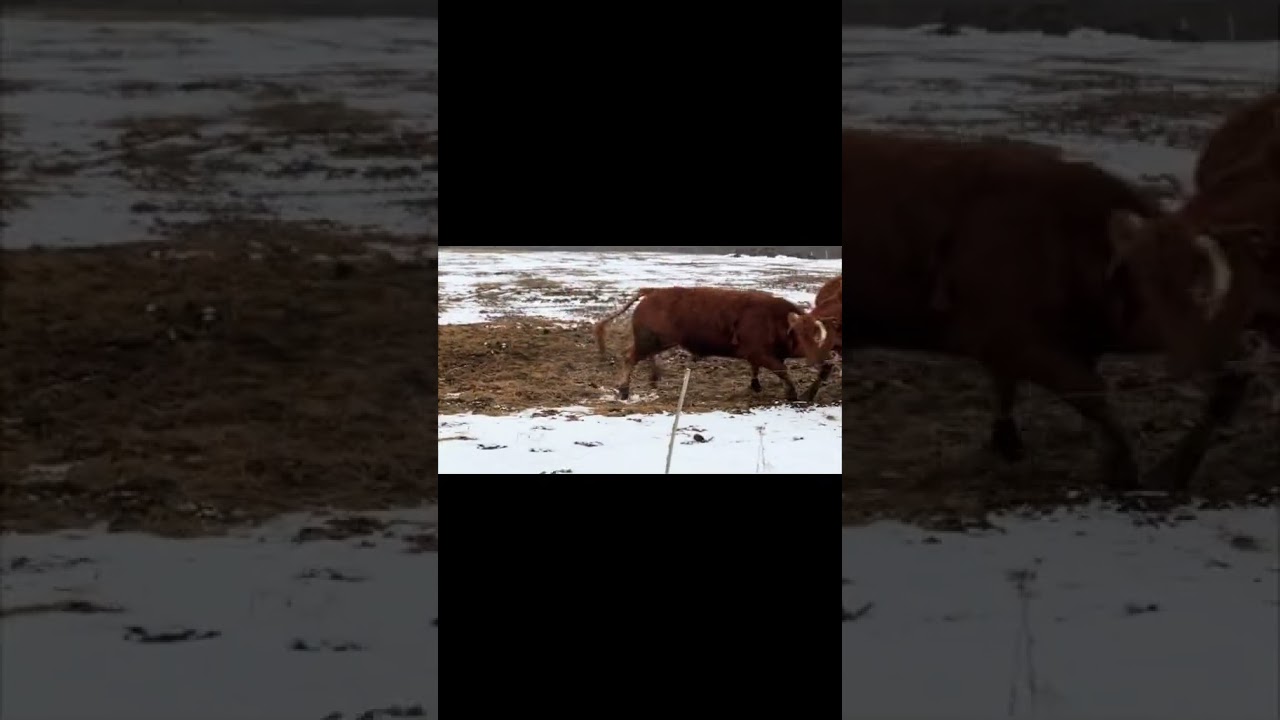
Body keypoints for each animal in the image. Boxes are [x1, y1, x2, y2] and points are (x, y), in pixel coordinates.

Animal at [593, 287, 833, 402]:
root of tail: (652, 291)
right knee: (628, 357)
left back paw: (654, 378)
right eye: (802, 335)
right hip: (649, 341)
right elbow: (782, 371)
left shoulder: (763, 356)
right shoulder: (761, 354)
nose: (822, 358)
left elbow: (760, 370)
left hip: (657, 342)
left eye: (818, 334)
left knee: (643, 357)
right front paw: (792, 394)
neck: (776, 321)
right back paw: (624, 391)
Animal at [842, 128, 1263, 490]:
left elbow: (1009, 388)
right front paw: (1125, 471)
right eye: (1159, 284)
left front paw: (1007, 445)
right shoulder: (1018, 343)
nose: (1235, 349)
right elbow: (1092, 395)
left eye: (1211, 283)